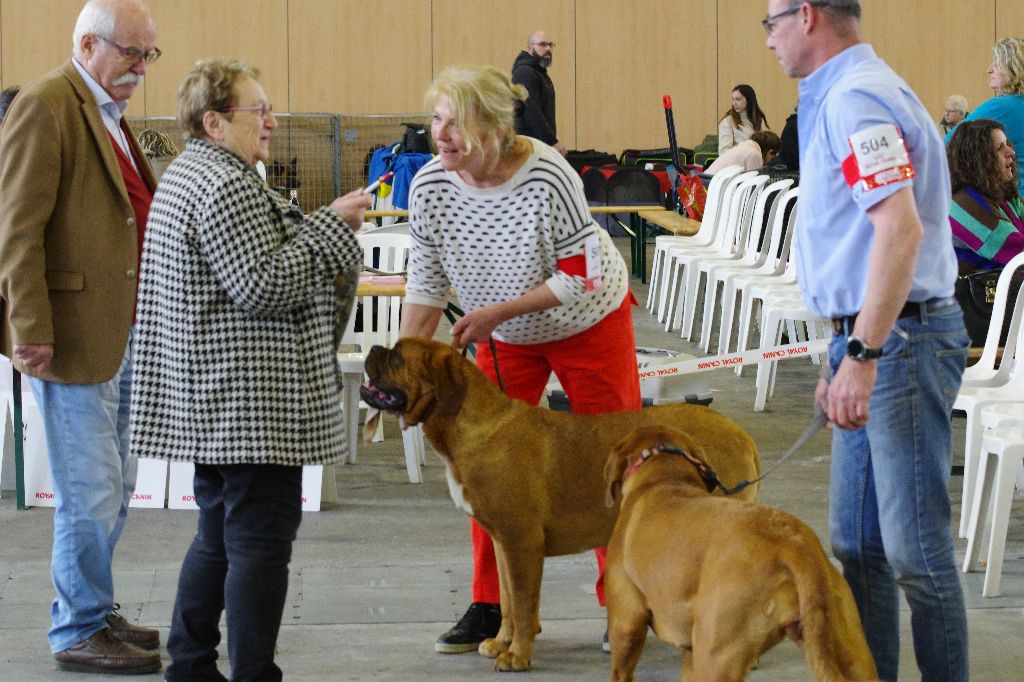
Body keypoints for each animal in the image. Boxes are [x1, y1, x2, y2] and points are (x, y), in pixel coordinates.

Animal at [360, 335, 761, 667]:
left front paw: (517, 656)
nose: (374, 348)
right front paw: (501, 642)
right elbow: (508, 600)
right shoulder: (503, 542)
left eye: (397, 357)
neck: (471, 426)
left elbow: (524, 604)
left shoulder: (522, 542)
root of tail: (741, 435)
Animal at [602, 421, 876, 675]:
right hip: (852, 652)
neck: (664, 475)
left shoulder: (626, 626)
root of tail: (796, 544)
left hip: (715, 655)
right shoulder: (690, 652)